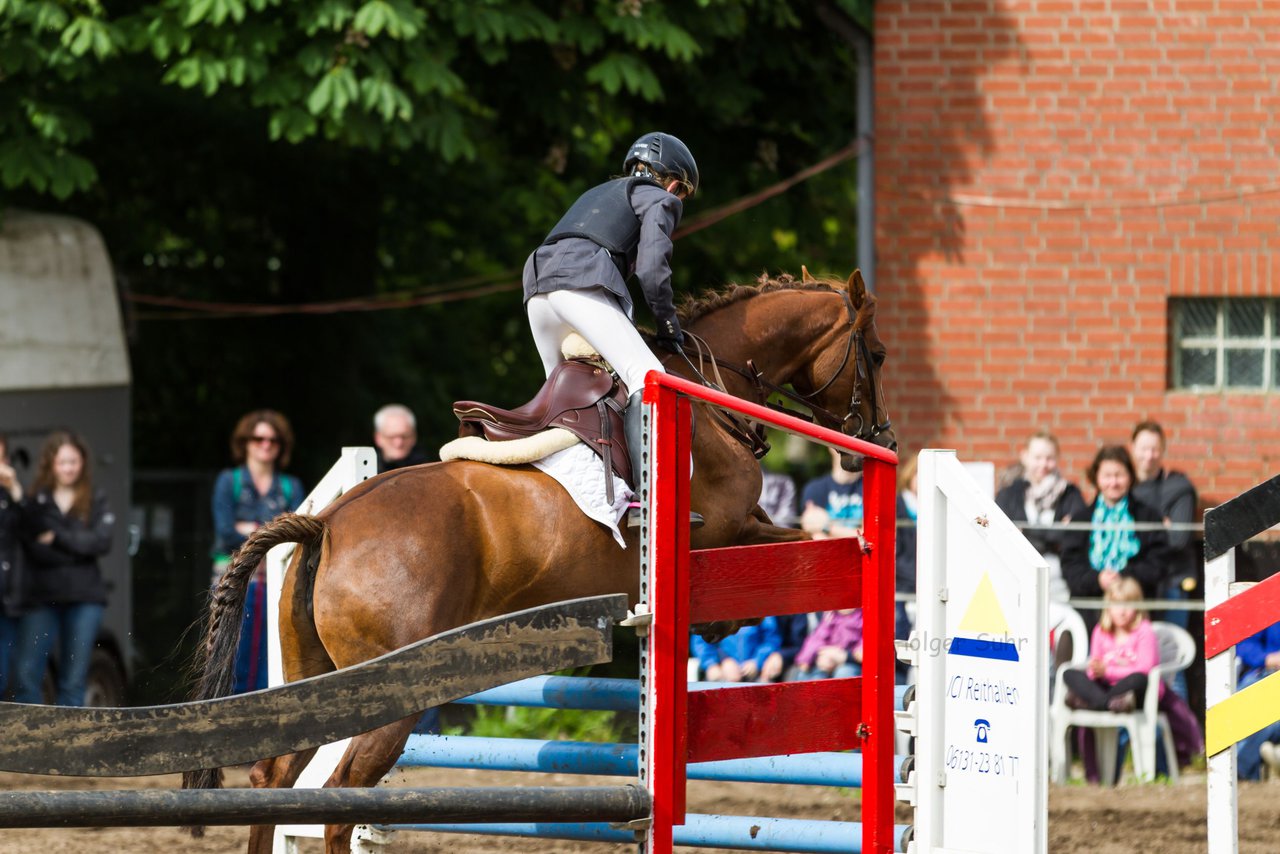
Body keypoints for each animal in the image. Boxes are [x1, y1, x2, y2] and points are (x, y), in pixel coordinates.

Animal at [185, 267, 896, 850]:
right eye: (879, 354)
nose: (874, 441)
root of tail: (326, 524)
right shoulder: (727, 532)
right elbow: (799, 554)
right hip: (390, 693)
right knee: (339, 797)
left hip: (318, 678)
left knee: (273, 777)